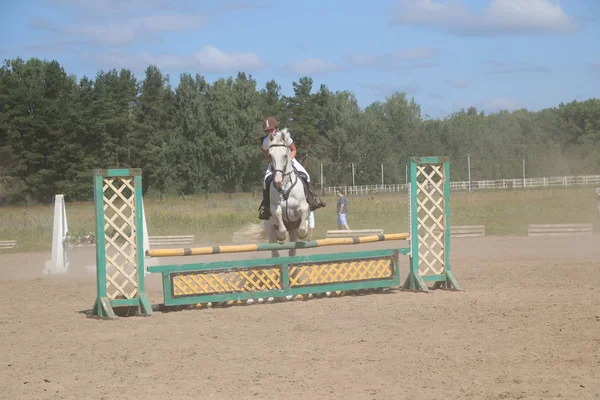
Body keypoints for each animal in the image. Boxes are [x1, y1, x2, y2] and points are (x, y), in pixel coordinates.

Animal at [231, 130, 310, 258]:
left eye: (285, 155)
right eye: (270, 155)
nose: (277, 181)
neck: (285, 185)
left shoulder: (303, 206)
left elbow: (303, 213)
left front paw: (303, 233)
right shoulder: (274, 208)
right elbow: (278, 213)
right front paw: (281, 235)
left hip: (292, 229)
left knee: (292, 251)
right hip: (270, 229)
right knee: (275, 252)